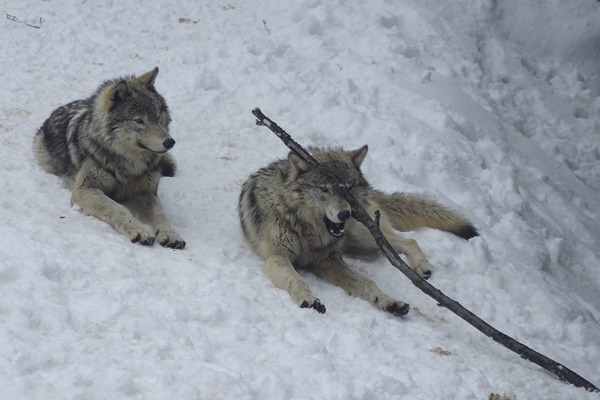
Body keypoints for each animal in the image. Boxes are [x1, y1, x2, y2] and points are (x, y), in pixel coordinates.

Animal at [34, 68, 185, 248]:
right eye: (139, 120)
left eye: (157, 116)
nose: (170, 142)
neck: (129, 163)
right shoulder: (85, 189)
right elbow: (118, 208)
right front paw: (139, 230)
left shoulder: (146, 193)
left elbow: (161, 214)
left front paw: (171, 234)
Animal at [239, 145, 478, 314]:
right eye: (324, 189)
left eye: (348, 188)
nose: (345, 214)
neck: (309, 229)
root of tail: (372, 191)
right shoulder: (278, 257)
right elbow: (297, 279)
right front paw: (309, 299)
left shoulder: (329, 260)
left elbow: (367, 281)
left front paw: (389, 301)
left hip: (362, 235)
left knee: (405, 241)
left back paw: (421, 267)